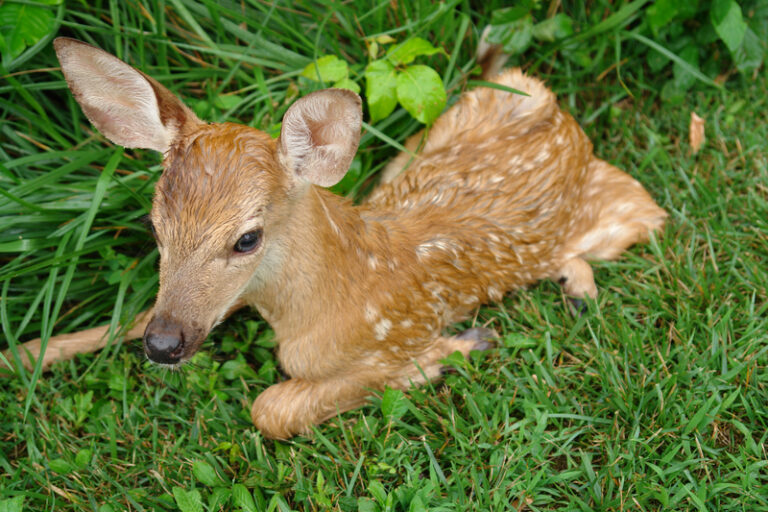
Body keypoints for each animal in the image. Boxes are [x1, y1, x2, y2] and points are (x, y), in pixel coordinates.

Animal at [2, 37, 666, 439]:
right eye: (154, 224)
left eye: (247, 239)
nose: (165, 348)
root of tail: (566, 121)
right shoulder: (219, 302)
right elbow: (130, 316)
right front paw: (24, 354)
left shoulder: (377, 344)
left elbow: (270, 408)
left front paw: (449, 352)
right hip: (427, 139)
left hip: (624, 215)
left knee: (645, 215)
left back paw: (578, 289)